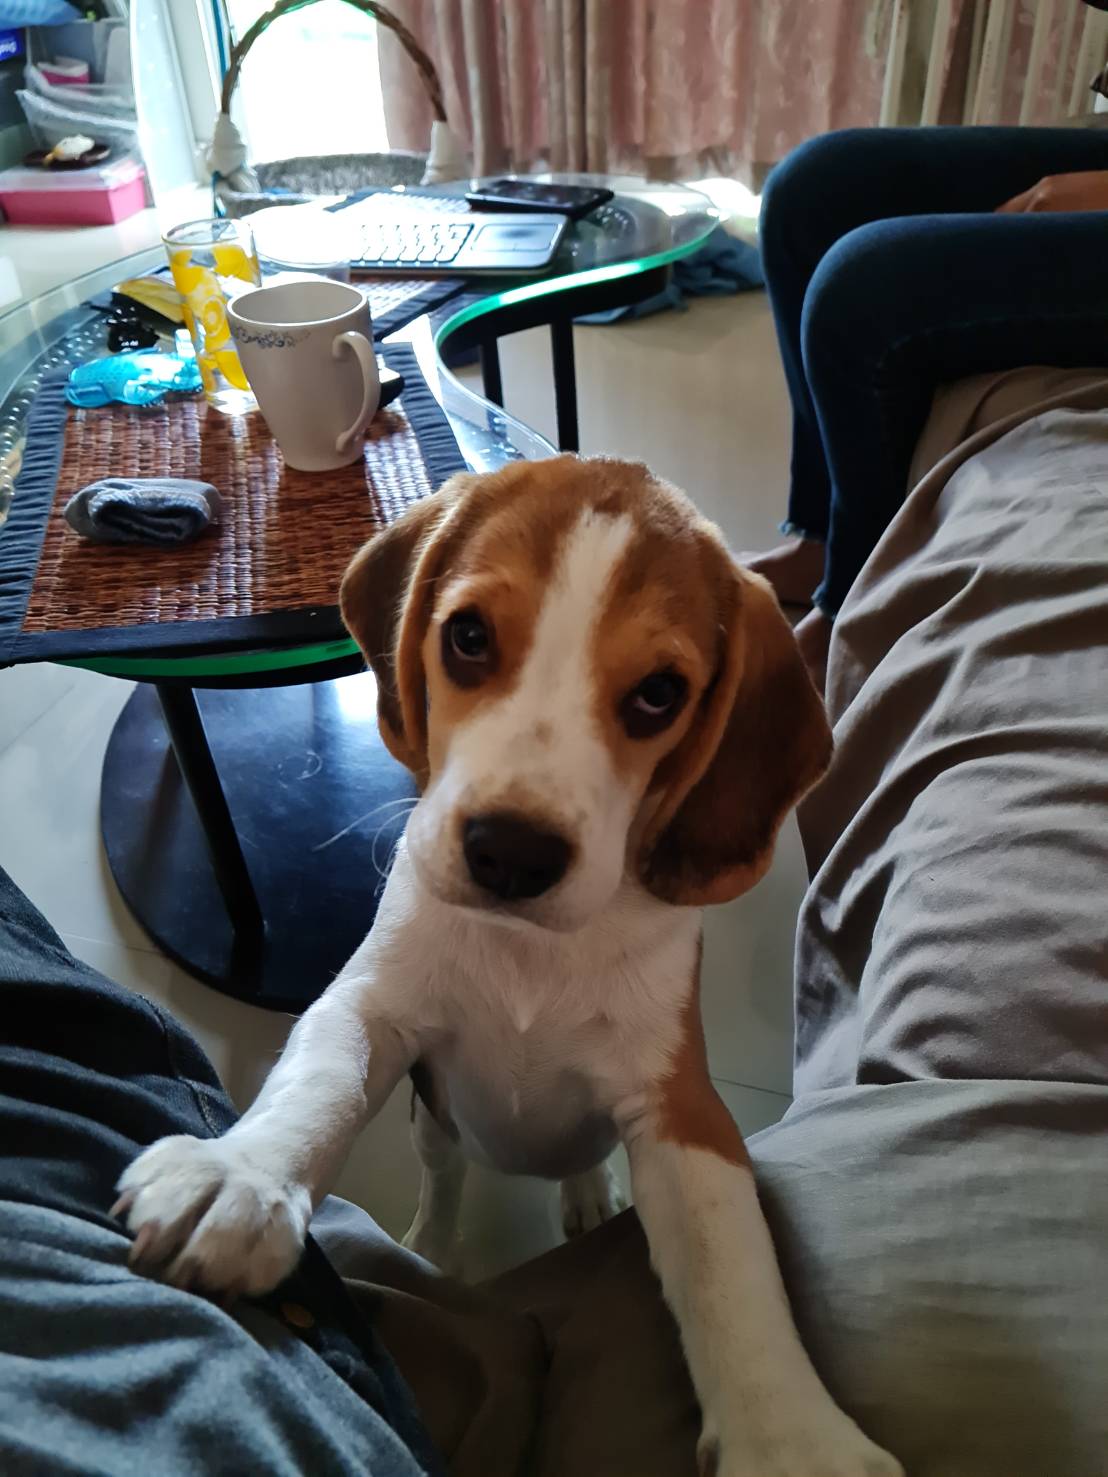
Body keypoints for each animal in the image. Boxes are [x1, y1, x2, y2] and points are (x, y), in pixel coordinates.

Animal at [115, 457, 902, 1476]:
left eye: (659, 693)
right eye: (468, 637)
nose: (513, 854)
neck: (533, 949)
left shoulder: (680, 1105)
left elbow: (732, 1267)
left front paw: (790, 1437)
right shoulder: (370, 1009)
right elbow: (319, 1079)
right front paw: (241, 1174)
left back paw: (585, 1197)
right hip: (431, 1116)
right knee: (445, 1172)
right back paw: (432, 1248)